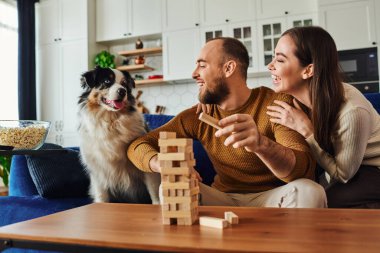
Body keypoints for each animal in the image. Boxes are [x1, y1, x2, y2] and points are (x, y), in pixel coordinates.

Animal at [77, 66, 160, 204]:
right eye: (106, 81)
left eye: (124, 84)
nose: (122, 91)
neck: (111, 121)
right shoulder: (97, 169)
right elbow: (101, 196)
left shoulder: (145, 168)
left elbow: (155, 193)